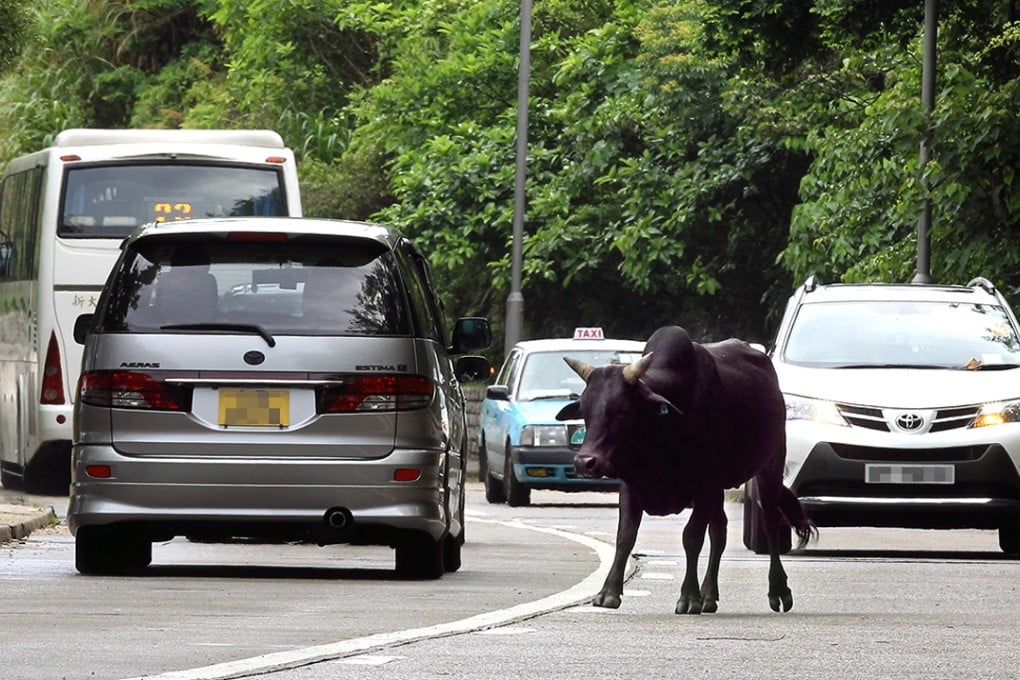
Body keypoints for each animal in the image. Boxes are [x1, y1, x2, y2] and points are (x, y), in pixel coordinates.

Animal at [556, 325, 815, 614]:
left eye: (622, 409)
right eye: (585, 410)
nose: (585, 462)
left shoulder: (704, 485)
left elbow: (691, 537)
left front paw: (689, 597)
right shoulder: (632, 486)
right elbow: (625, 536)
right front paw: (609, 592)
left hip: (770, 465)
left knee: (769, 523)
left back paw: (778, 591)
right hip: (722, 489)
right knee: (720, 531)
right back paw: (709, 595)